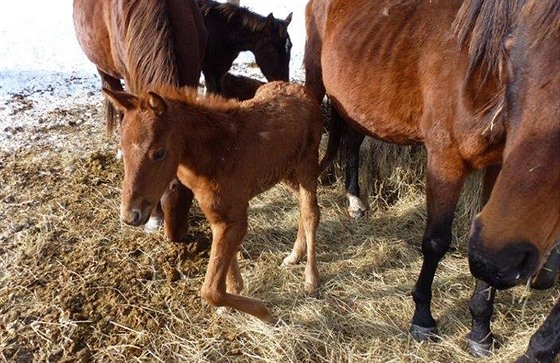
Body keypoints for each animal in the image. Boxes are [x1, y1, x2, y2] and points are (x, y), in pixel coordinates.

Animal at [102, 82, 330, 322]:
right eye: (122, 149)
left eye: (159, 153)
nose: (130, 215)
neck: (216, 153)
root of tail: (301, 90)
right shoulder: (217, 214)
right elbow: (223, 266)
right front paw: (235, 293)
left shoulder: (235, 219)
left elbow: (211, 291)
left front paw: (265, 313)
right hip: (285, 171)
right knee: (302, 207)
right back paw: (295, 255)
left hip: (306, 164)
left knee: (311, 212)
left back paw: (311, 279)